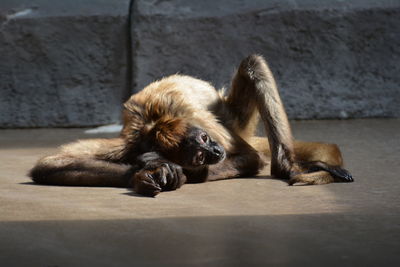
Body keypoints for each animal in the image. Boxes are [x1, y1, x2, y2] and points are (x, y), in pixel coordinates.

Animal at [29, 55, 352, 197]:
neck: (155, 124)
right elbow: (48, 165)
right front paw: (147, 170)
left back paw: (284, 167)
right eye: (198, 155)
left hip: (232, 119)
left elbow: (250, 158)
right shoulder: (130, 141)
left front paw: (175, 172)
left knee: (253, 63)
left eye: (206, 139)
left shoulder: (201, 120)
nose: (216, 153)